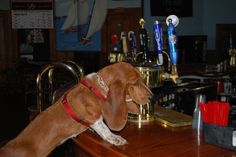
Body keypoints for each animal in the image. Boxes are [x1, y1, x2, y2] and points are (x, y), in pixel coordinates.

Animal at [0, 62, 151, 157]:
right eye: (135, 83)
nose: (152, 97)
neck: (95, 88)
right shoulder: (94, 118)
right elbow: (104, 129)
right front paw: (116, 138)